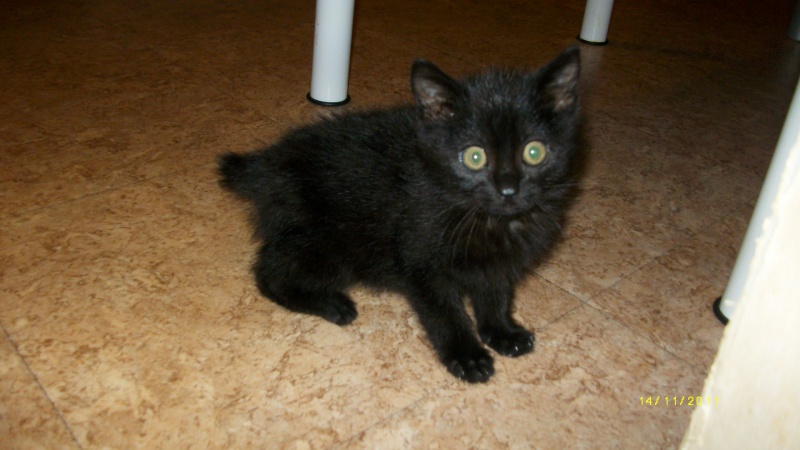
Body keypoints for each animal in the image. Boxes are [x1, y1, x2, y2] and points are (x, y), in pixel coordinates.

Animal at [219, 46, 580, 384]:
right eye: (474, 157)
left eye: (534, 152)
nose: (507, 190)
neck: (484, 217)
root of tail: (266, 162)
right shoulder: (420, 260)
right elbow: (445, 313)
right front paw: (466, 355)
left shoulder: (499, 263)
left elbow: (495, 294)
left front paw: (501, 332)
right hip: (328, 244)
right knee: (268, 273)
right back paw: (331, 304)